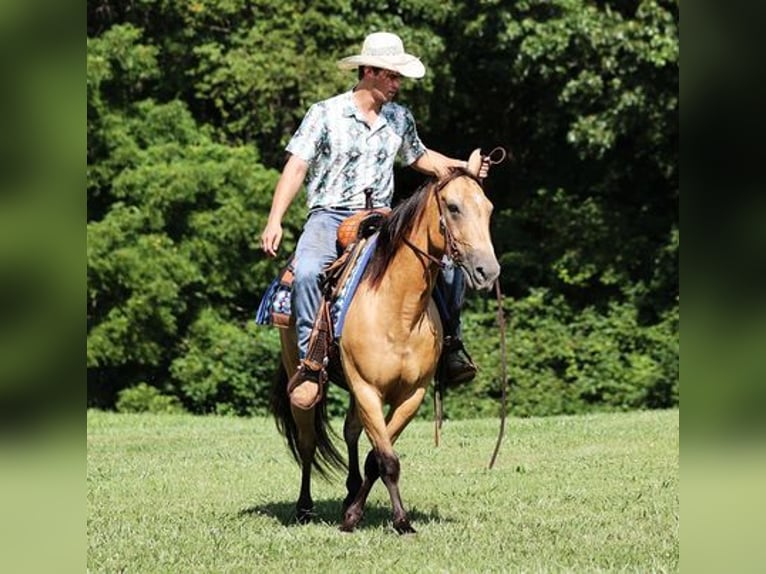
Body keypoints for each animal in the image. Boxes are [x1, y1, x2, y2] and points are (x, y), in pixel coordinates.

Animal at [272, 159, 500, 536]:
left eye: (489, 209)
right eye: (453, 208)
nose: (488, 271)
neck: (399, 311)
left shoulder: (411, 395)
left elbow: (376, 458)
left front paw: (355, 513)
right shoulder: (367, 389)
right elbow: (387, 459)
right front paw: (400, 521)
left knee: (350, 433)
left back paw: (349, 493)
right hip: (301, 376)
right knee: (307, 443)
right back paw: (304, 508)